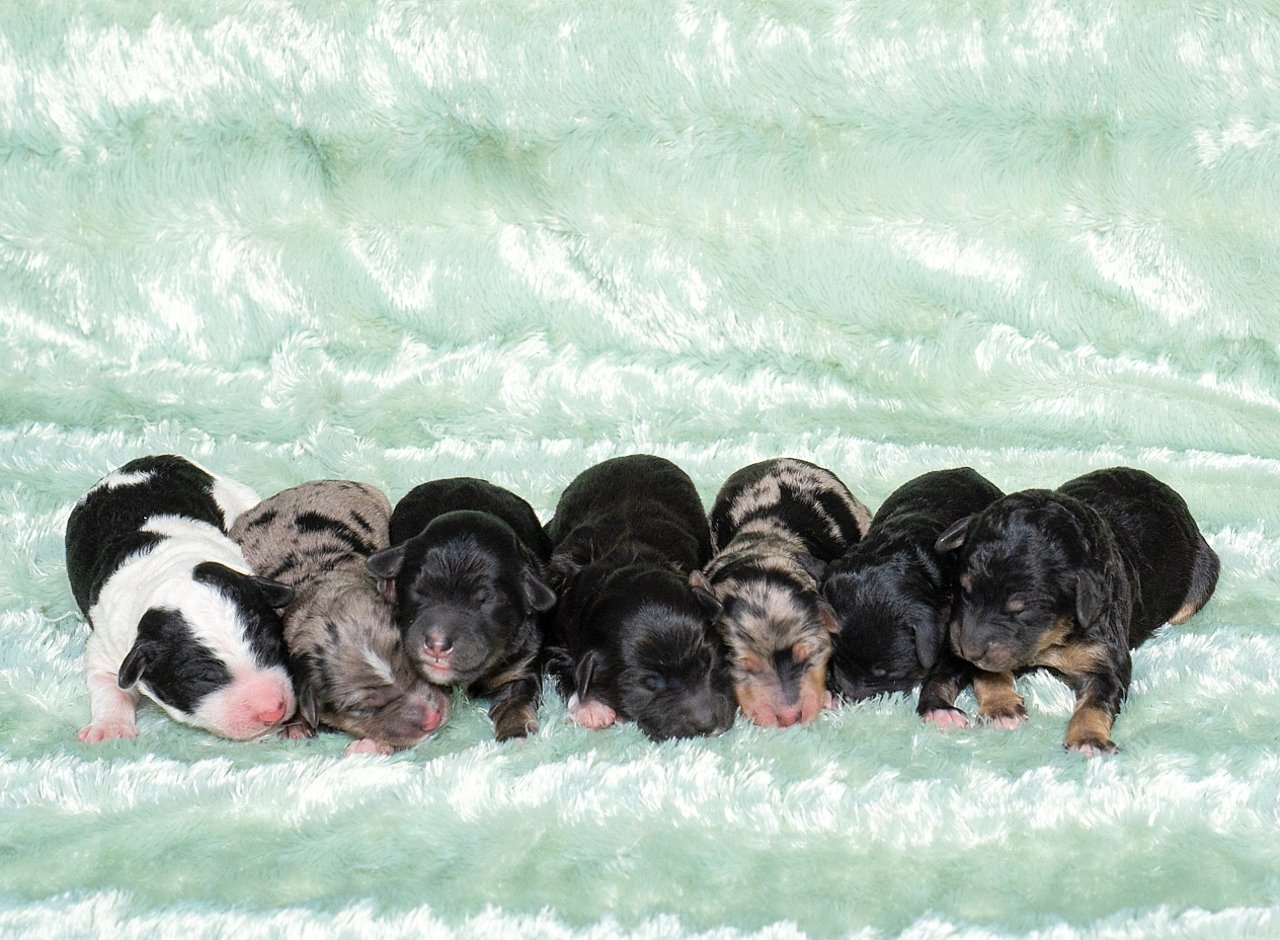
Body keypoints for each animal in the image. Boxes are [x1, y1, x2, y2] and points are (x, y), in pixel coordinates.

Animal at [64, 455, 296, 742]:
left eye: (274, 646)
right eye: (203, 678)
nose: (273, 711)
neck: (170, 565)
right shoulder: (108, 643)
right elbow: (109, 683)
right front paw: (110, 728)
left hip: (239, 496)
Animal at [364, 477, 556, 742]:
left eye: (486, 601)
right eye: (417, 589)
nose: (437, 644)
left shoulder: (522, 665)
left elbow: (515, 700)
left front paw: (515, 734)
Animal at [544, 454, 736, 741]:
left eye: (709, 660)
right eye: (649, 683)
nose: (709, 723)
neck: (628, 563)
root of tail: (625, 457)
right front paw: (591, 707)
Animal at [934, 466, 1220, 753]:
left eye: (1021, 610)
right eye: (963, 589)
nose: (967, 650)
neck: (1052, 638)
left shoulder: (1104, 657)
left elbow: (1096, 701)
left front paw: (1088, 739)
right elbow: (988, 674)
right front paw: (1001, 708)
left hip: (1201, 577)